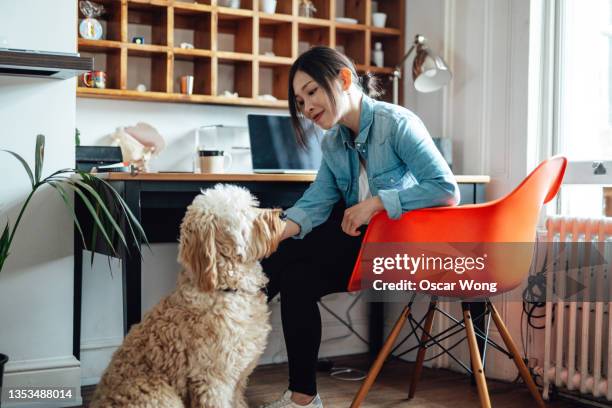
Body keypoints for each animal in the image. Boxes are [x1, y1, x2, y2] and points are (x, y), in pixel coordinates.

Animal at [90, 186, 284, 408]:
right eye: (242, 213)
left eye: (252, 204)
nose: (282, 214)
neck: (225, 288)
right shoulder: (213, 381)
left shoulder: (238, 381)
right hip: (161, 395)